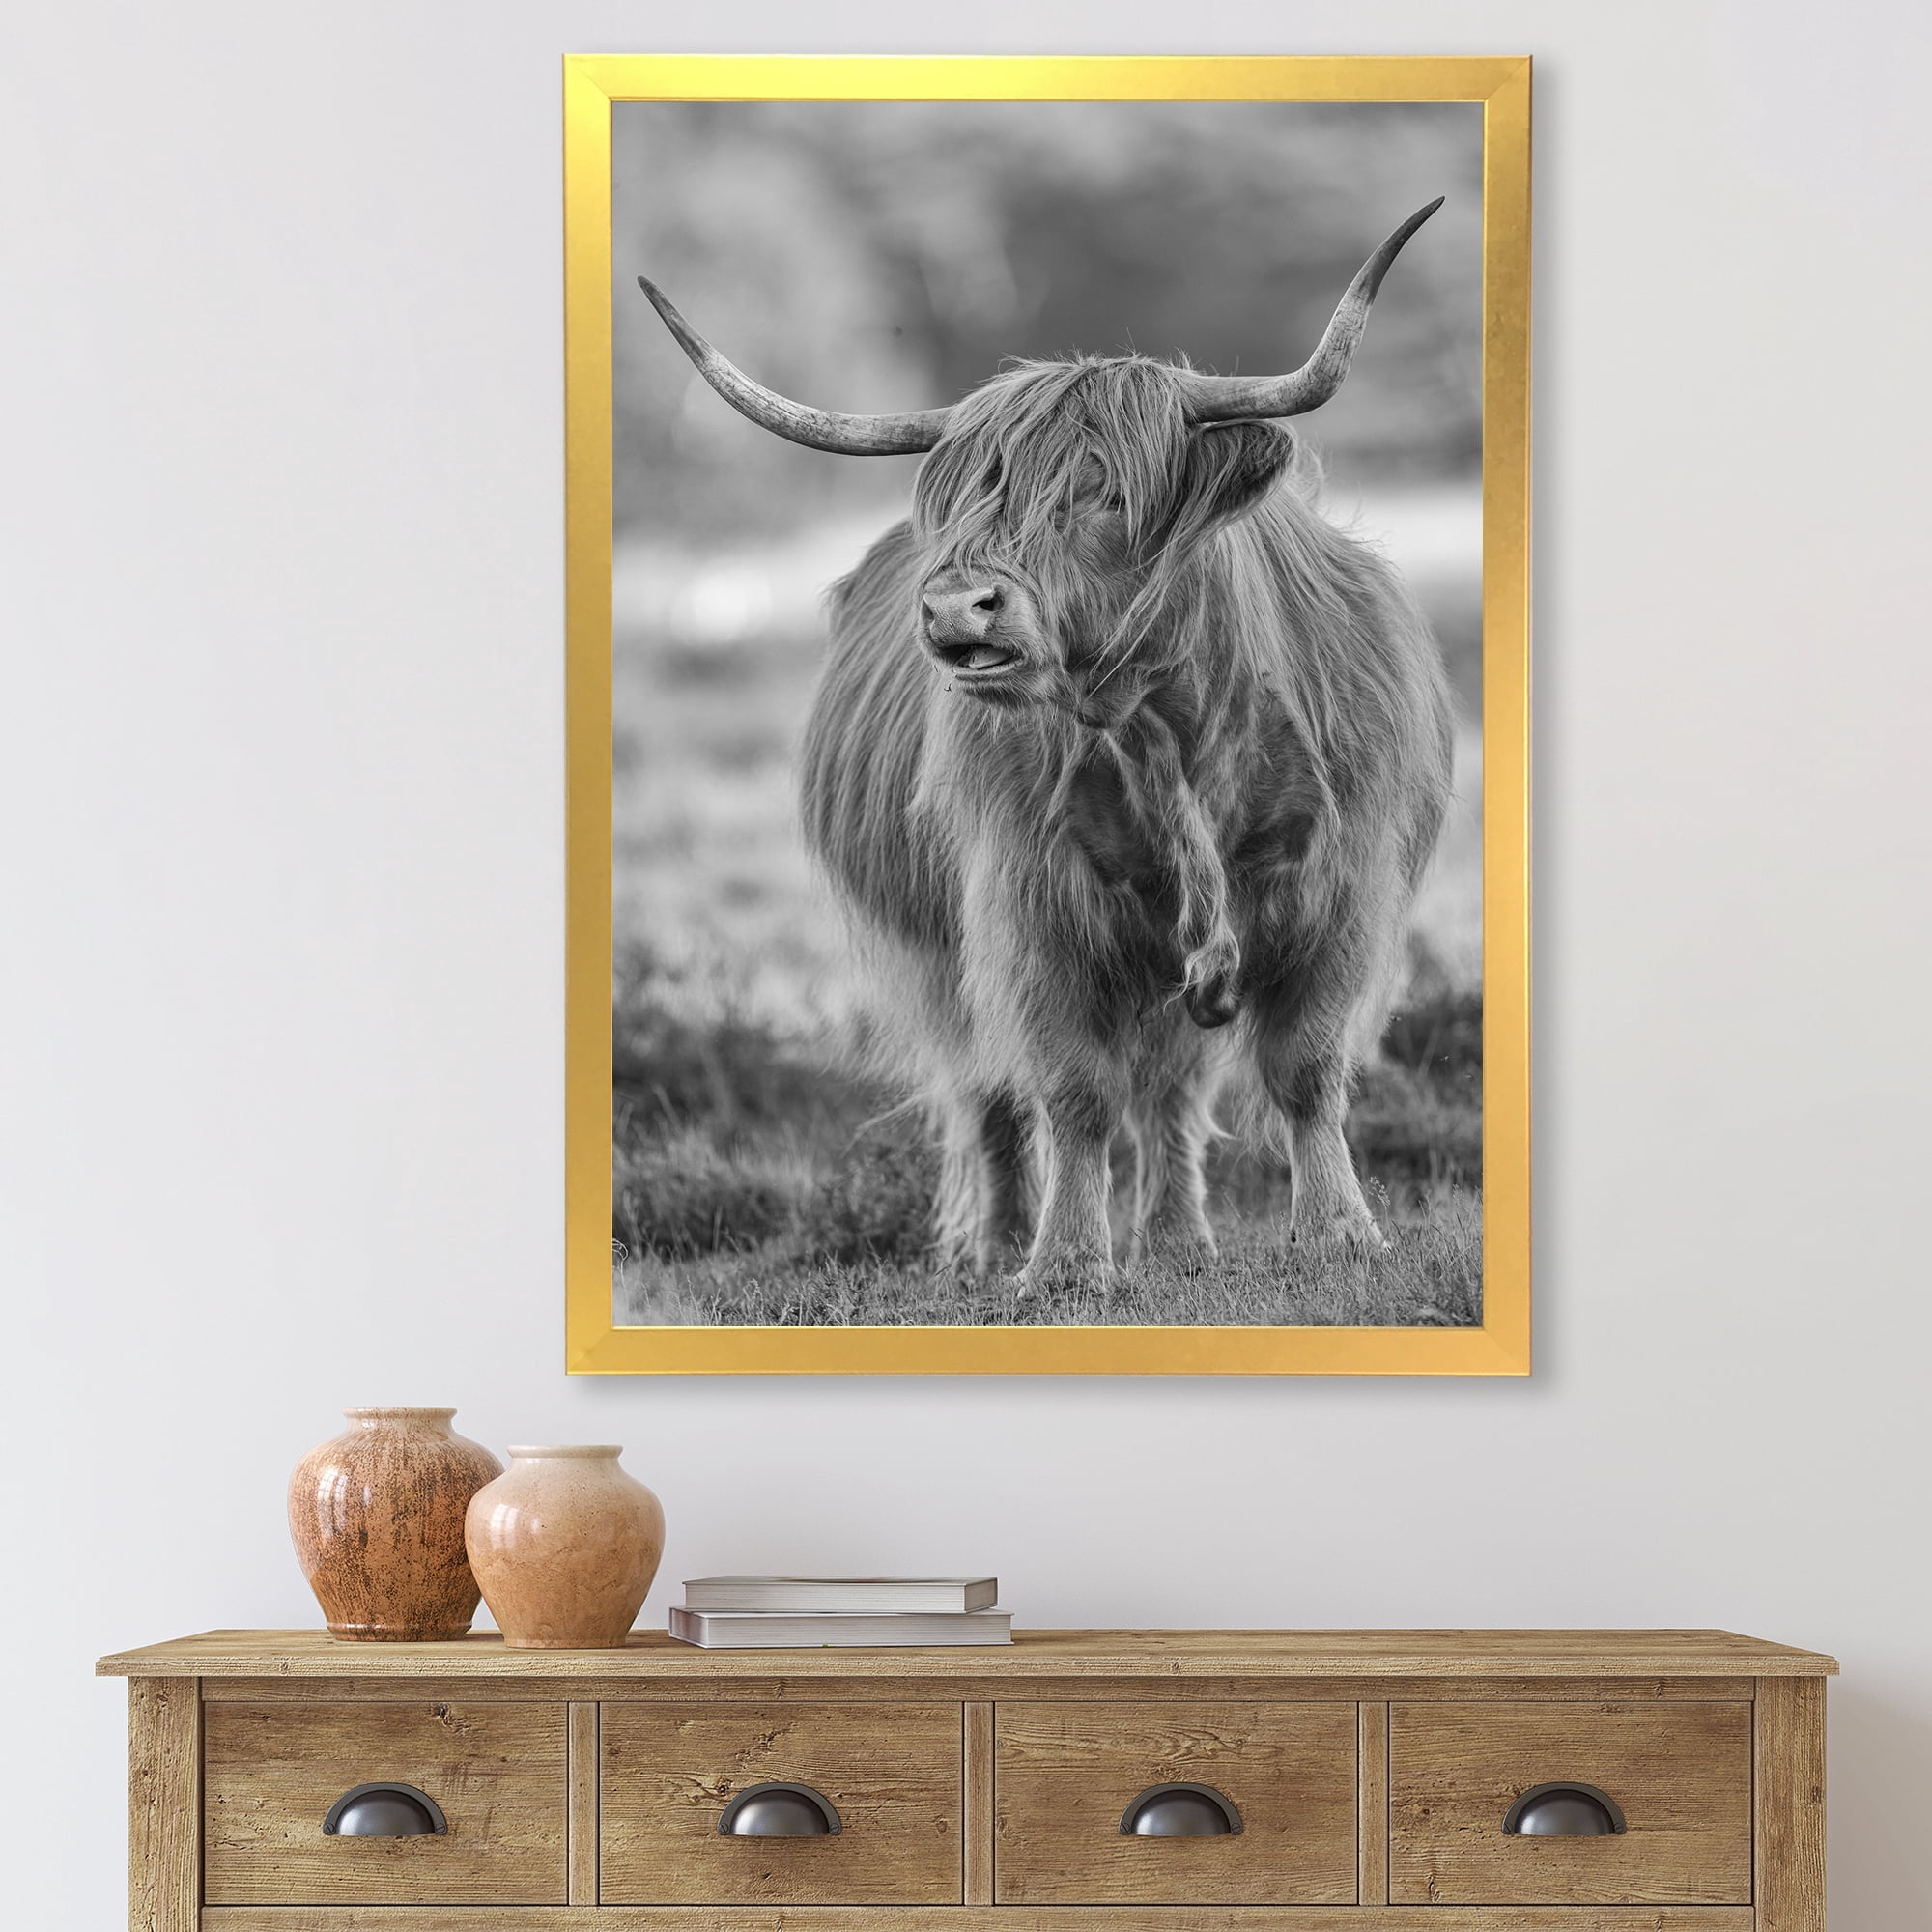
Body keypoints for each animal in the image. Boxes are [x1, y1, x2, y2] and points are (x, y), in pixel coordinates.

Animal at [638, 202, 1455, 1293]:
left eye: (1103, 491)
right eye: (966, 501)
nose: (955, 606)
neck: (1169, 730)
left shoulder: (1339, 890)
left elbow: (1305, 1069)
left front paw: (1337, 1234)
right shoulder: (1031, 907)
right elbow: (1071, 1090)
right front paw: (1065, 1261)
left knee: (1171, 1089)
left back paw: (1179, 1239)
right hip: (944, 958)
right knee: (992, 1088)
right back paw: (995, 1248)